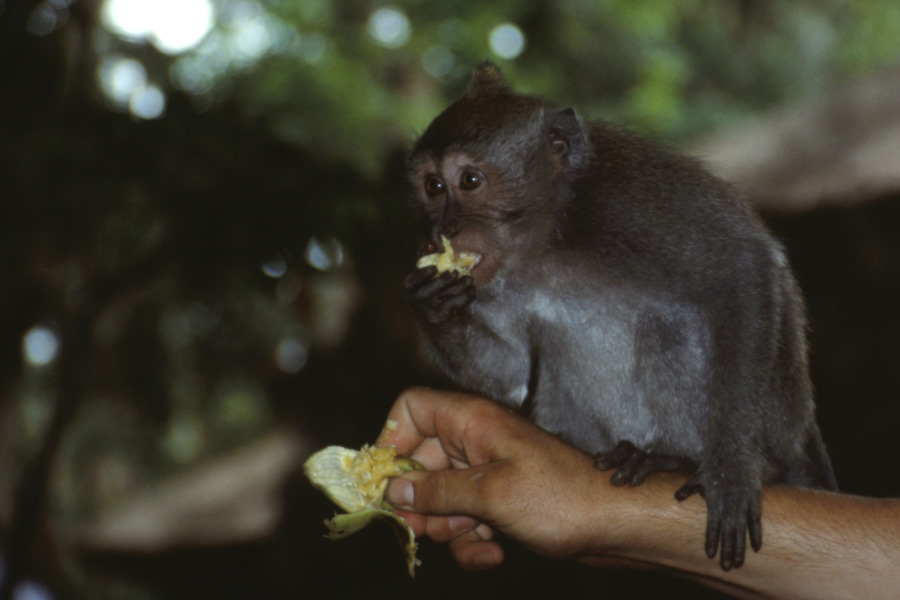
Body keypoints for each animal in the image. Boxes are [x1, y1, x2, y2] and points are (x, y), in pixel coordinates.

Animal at [404, 62, 840, 572]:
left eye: (470, 181)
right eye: (433, 187)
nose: (444, 229)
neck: (546, 240)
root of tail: (799, 435)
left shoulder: (629, 204)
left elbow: (742, 272)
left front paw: (730, 473)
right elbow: (507, 375)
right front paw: (433, 303)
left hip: (773, 424)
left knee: (674, 325)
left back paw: (676, 459)